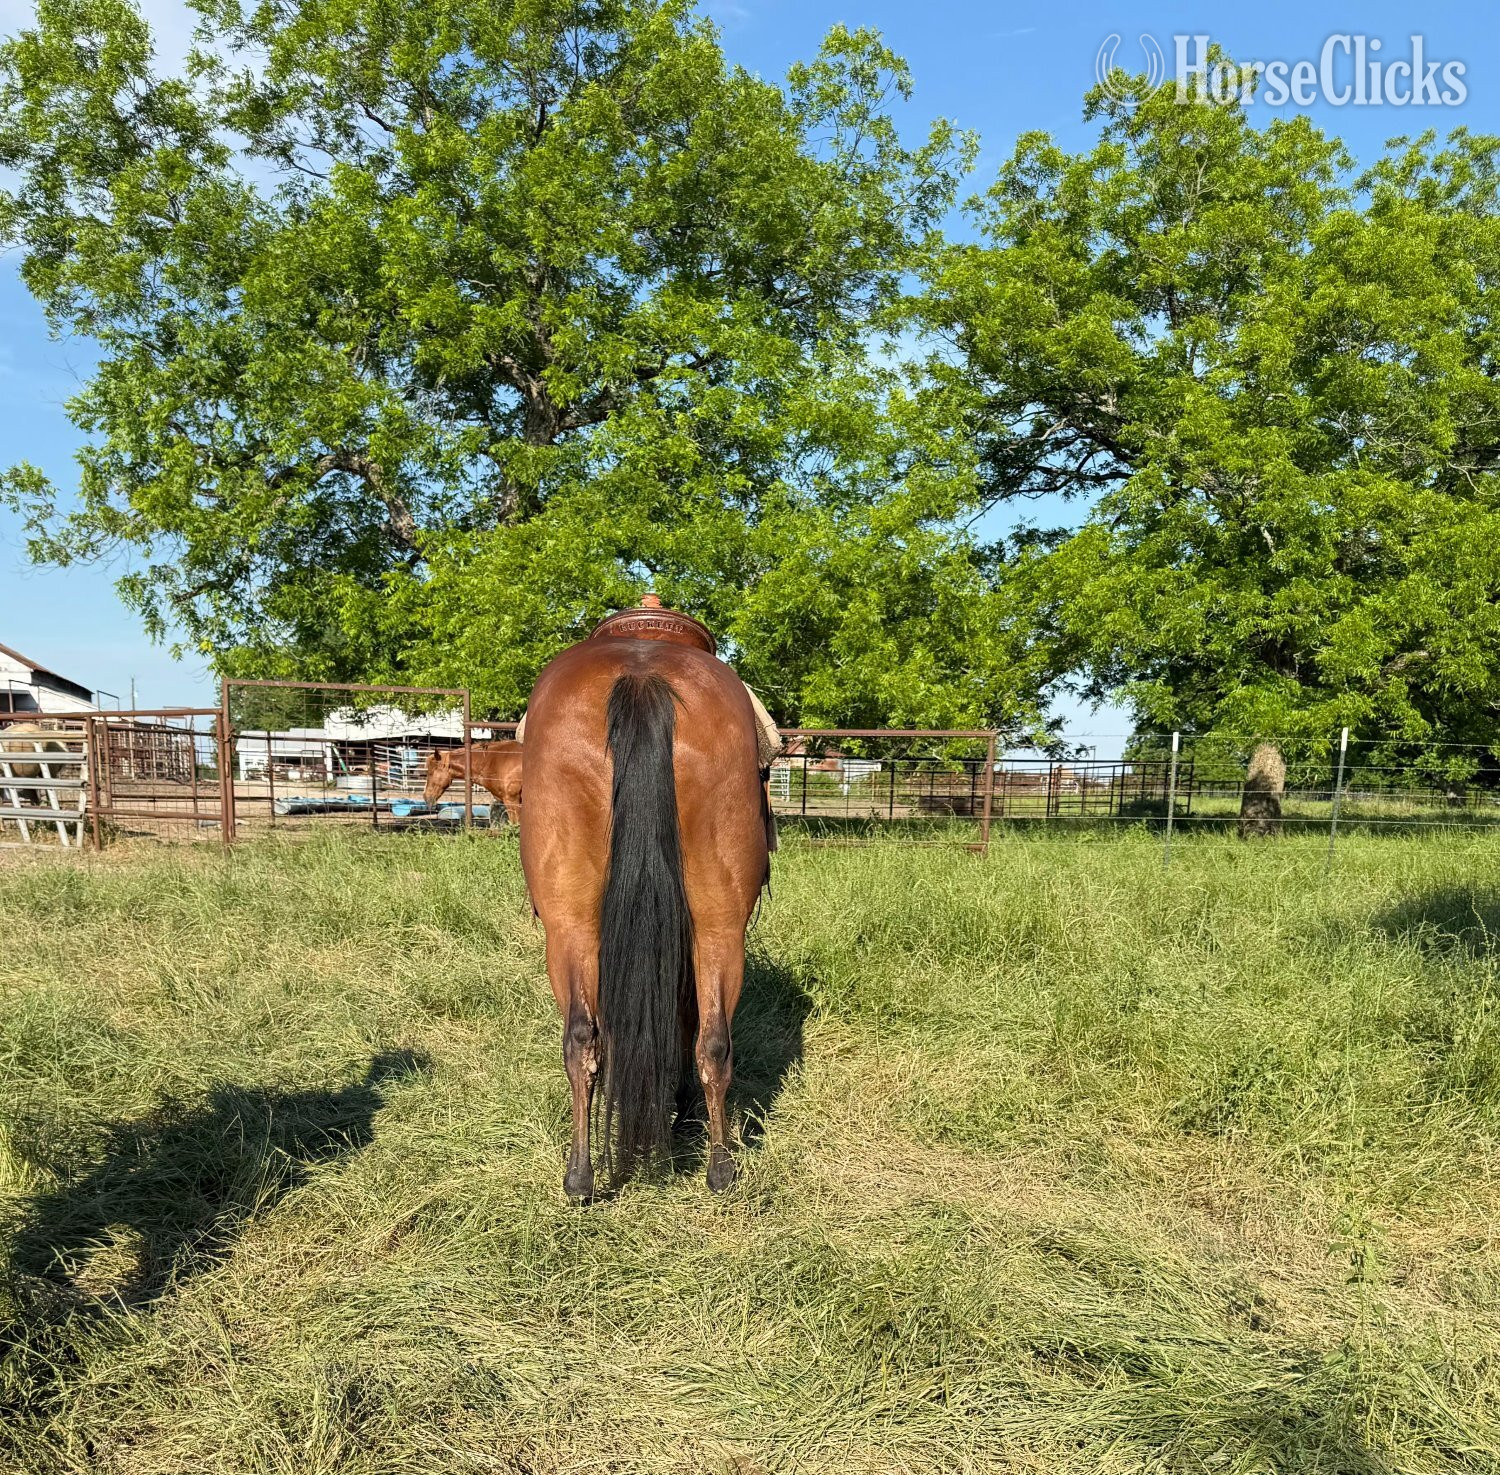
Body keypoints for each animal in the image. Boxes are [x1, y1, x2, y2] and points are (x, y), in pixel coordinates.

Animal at [519, 615, 770, 1201]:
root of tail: (641, 677)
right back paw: (717, 1166)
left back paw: (583, 1175)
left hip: (573, 927)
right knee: (707, 1040)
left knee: (587, 1038)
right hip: (716, 926)